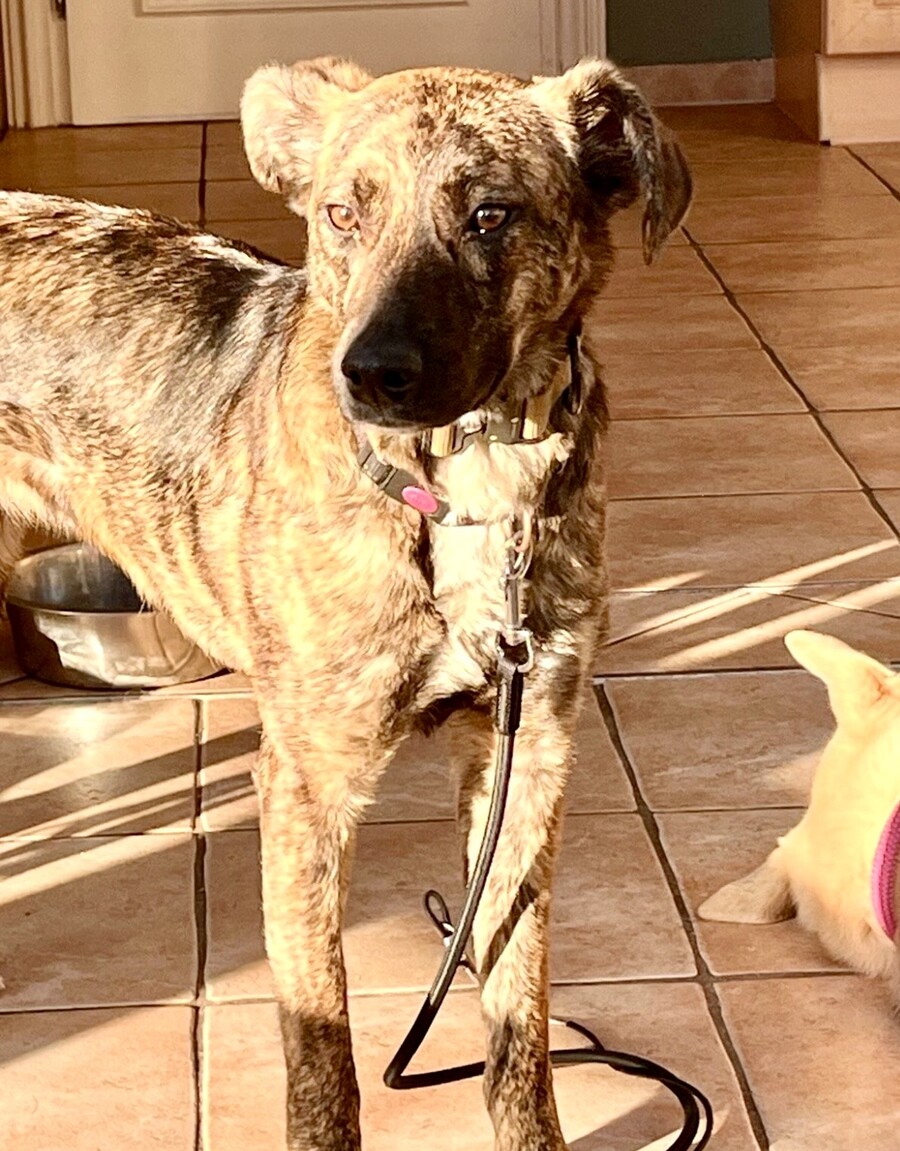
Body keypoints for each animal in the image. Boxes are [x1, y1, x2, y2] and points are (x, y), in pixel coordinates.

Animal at [0, 58, 690, 1149]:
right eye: (340, 214)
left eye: (490, 214)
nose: (370, 373)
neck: (469, 483)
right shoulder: (308, 784)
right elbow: (321, 1038)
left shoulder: (526, 751)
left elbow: (519, 1019)